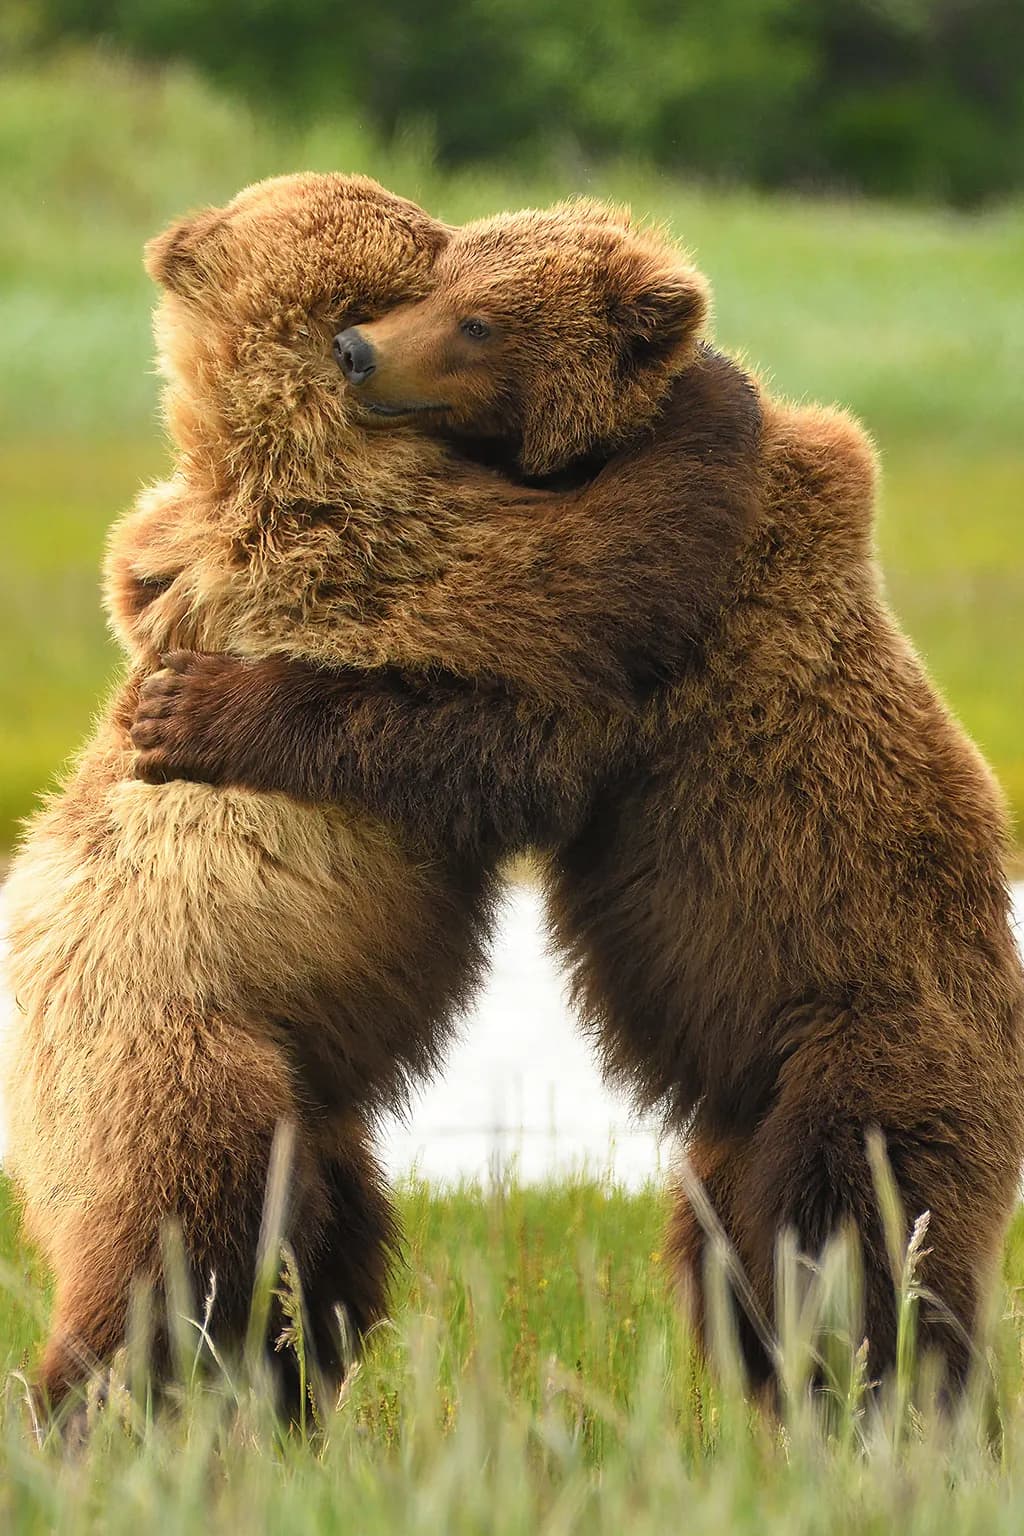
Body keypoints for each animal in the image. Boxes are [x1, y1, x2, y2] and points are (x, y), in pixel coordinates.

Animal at [2, 175, 763, 1413]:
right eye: (423, 256)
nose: (369, 349)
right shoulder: (380, 536)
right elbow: (580, 576)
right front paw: (712, 402)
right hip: (172, 1054)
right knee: (179, 1241)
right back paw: (83, 1398)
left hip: (313, 1113)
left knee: (325, 1256)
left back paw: (285, 1398)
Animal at [132, 200, 1024, 1393]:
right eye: (434, 280)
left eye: (477, 321)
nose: (358, 352)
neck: (583, 461)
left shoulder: (675, 652)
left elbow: (501, 750)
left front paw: (192, 706)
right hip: (735, 1144)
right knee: (738, 1272)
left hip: (872, 1057)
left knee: (862, 1252)